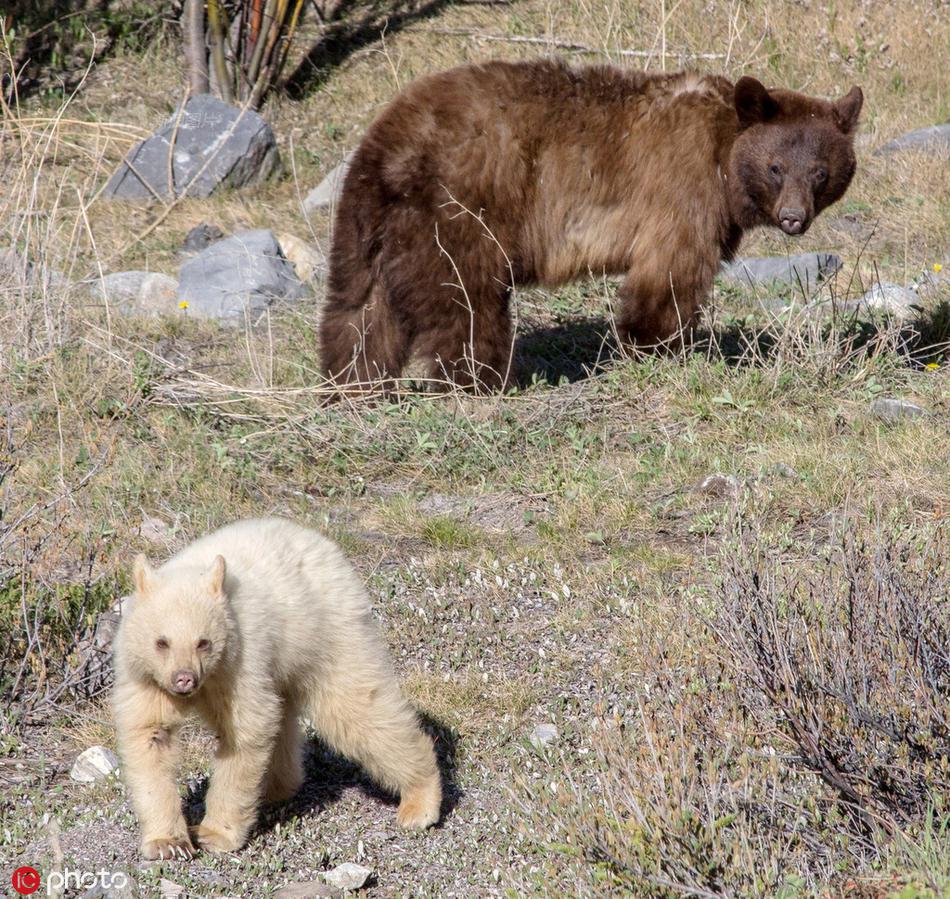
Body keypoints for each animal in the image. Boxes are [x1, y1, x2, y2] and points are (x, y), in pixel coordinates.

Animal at [320, 59, 864, 390]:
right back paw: (480, 380)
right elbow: (669, 272)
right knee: (467, 305)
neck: (723, 158)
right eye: (775, 167)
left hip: (369, 226)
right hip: (459, 213)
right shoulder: (681, 188)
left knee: (358, 311)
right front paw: (657, 346)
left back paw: (348, 386)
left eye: (820, 172)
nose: (794, 218)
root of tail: (386, 146)